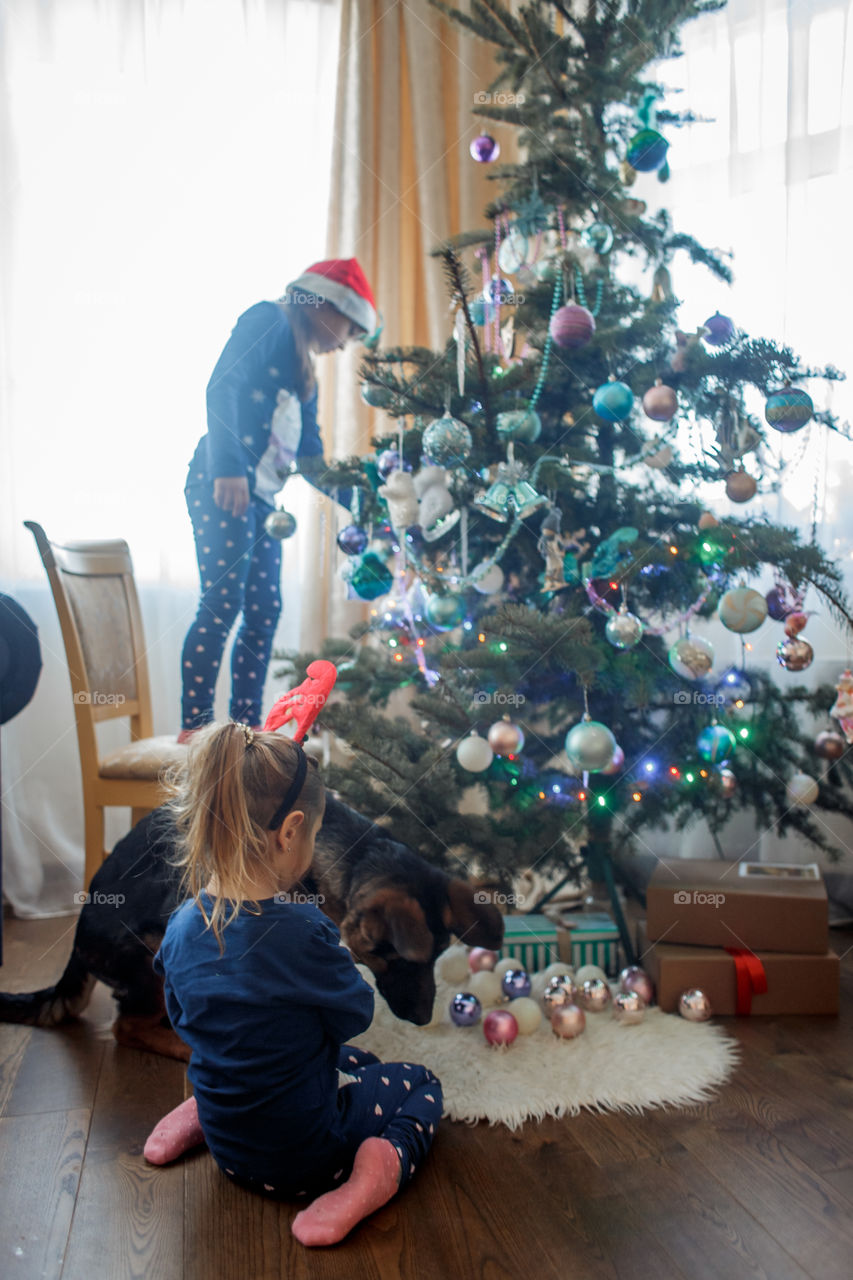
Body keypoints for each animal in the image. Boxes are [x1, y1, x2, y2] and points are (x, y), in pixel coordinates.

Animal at [0, 788, 502, 1059]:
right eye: (393, 957)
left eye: (438, 957)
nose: (422, 1019)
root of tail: (76, 943)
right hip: (153, 952)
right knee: (127, 1028)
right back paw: (184, 1047)